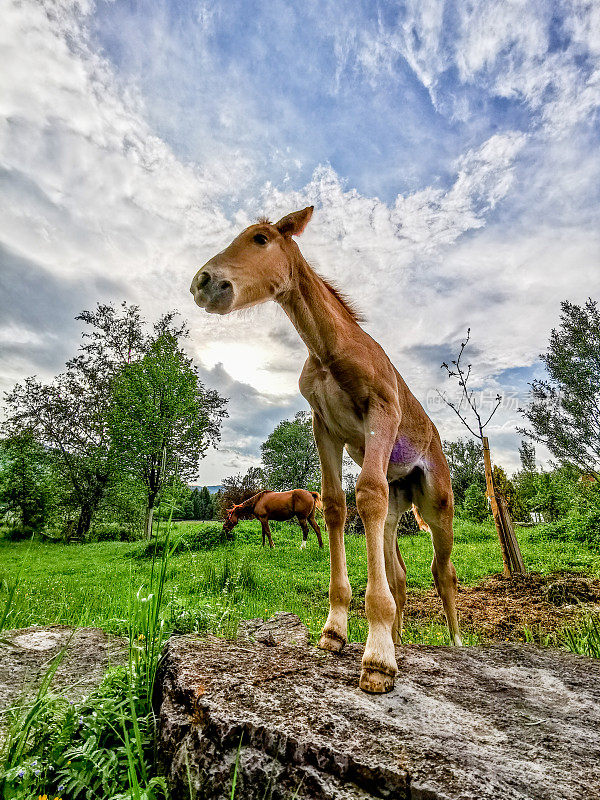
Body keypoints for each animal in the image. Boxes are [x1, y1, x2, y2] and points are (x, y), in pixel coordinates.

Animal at [190, 205, 462, 692]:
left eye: (260, 239)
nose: (204, 282)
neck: (330, 350)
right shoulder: (325, 428)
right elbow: (335, 505)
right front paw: (336, 630)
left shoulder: (382, 412)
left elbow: (365, 495)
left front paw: (378, 658)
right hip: (398, 504)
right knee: (400, 570)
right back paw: (402, 638)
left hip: (436, 502)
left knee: (442, 571)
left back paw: (454, 643)